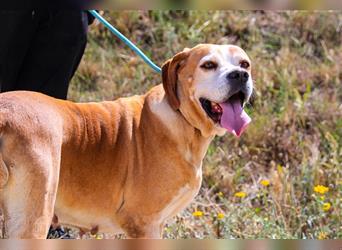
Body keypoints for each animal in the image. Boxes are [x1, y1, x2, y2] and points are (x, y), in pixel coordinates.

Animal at [0, 43, 252, 238]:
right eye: (208, 65)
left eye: (244, 64)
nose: (240, 75)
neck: (182, 118)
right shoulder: (144, 224)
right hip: (32, 221)